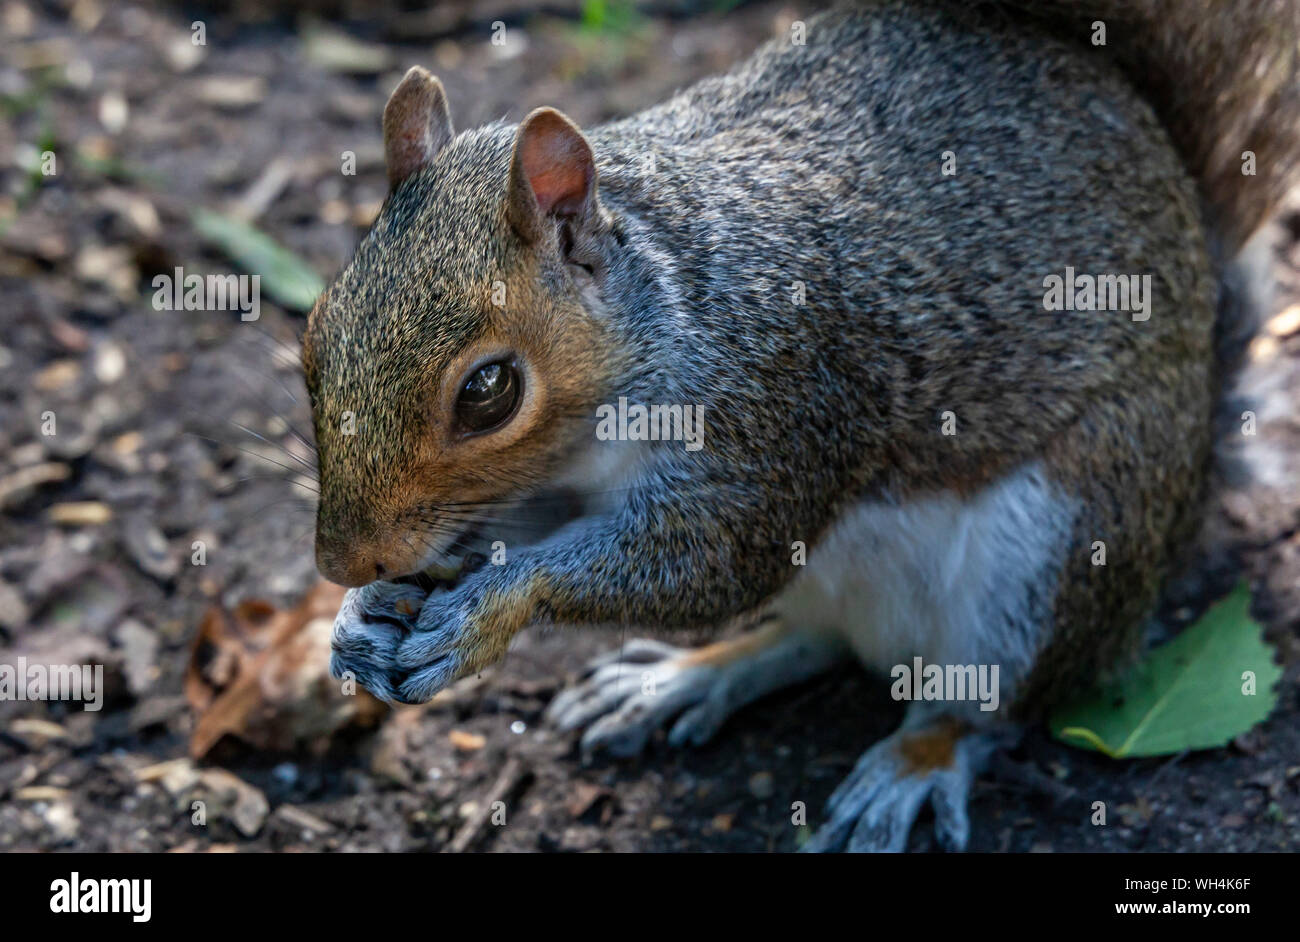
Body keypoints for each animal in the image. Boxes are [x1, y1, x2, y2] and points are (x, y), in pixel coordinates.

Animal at [306, 1, 1300, 852]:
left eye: (489, 391)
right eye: (317, 327)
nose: (342, 562)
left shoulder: (774, 411)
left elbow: (705, 562)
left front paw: (481, 613)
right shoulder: (560, 481)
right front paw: (365, 615)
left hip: (1061, 542)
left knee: (987, 700)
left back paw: (912, 763)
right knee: (812, 636)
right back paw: (682, 679)